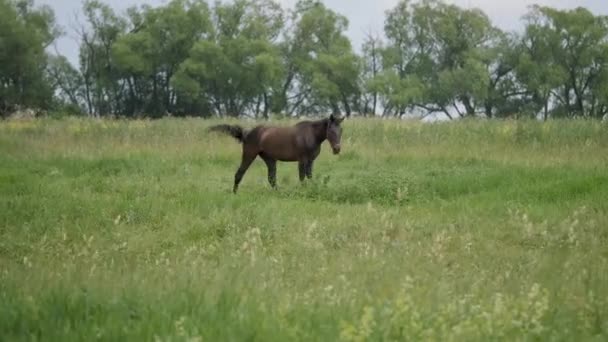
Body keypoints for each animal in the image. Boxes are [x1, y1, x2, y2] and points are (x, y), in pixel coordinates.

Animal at [208, 115, 342, 194]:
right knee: (239, 174)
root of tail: (246, 134)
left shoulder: (311, 161)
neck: (311, 135)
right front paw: (304, 191)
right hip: (249, 155)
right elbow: (302, 177)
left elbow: (309, 176)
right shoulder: (302, 160)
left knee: (271, 179)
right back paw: (235, 193)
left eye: (341, 131)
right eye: (331, 130)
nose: (337, 149)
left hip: (270, 159)